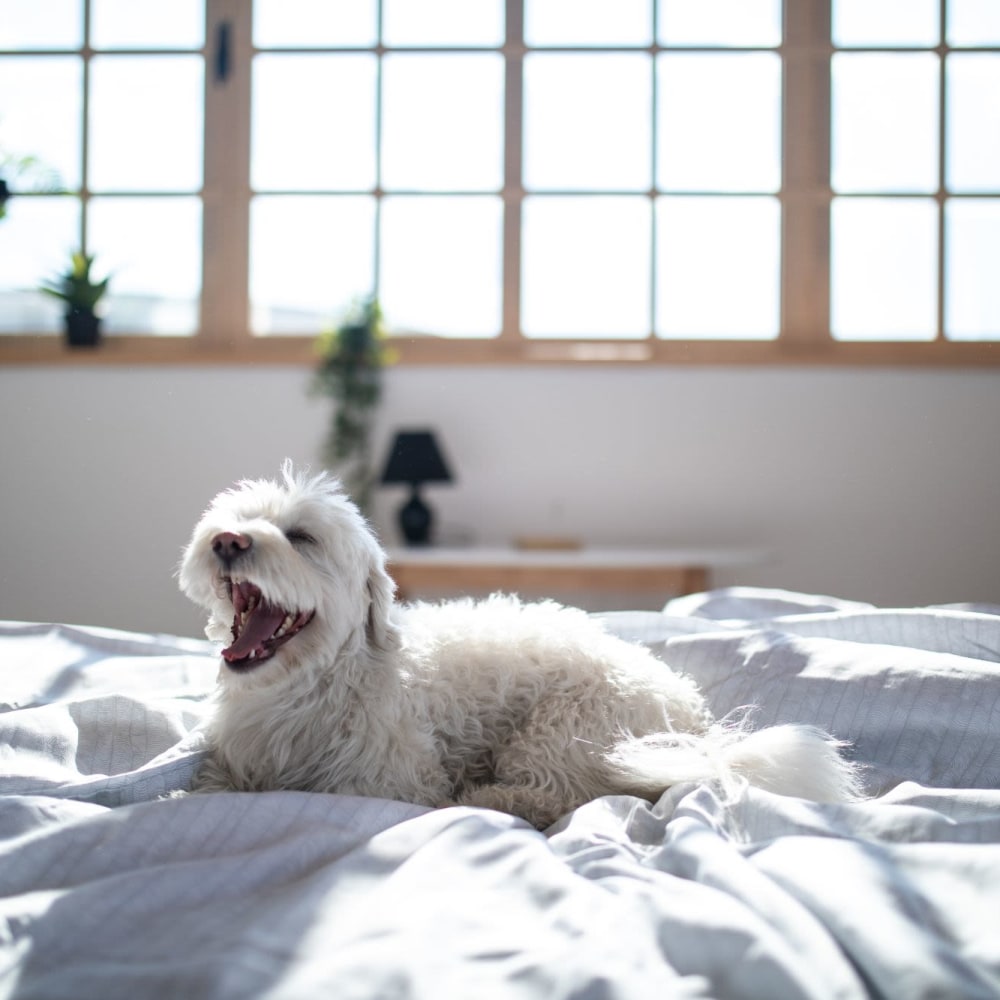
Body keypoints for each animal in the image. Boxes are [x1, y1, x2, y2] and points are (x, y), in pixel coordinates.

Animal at [182, 464, 860, 824]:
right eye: (236, 520)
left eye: (301, 537)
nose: (228, 541)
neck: (310, 687)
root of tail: (695, 721)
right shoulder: (231, 764)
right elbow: (206, 788)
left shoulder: (390, 784)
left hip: (563, 730)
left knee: (566, 795)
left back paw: (490, 798)